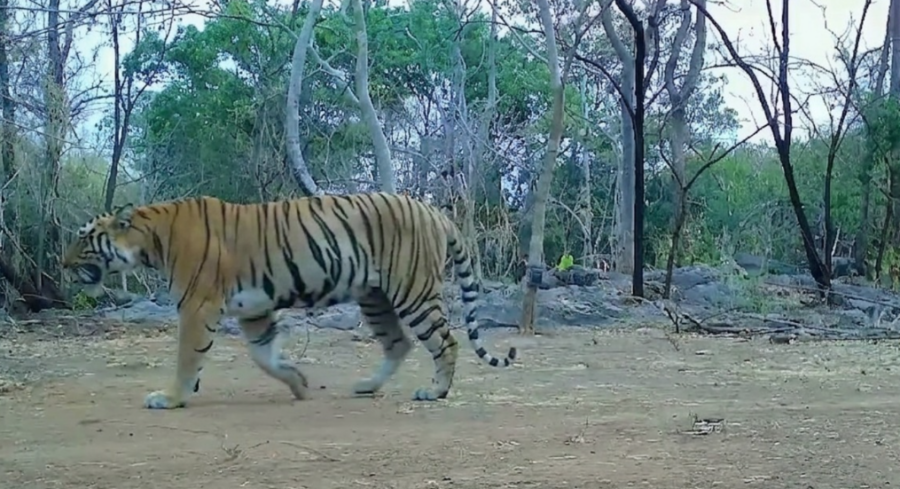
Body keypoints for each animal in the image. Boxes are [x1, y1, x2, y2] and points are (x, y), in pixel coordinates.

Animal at [61, 192, 517, 409]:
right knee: (398, 342)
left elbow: (188, 359)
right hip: (374, 296)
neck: (150, 239)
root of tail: (433, 211)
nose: (61, 264)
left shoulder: (197, 306)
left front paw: (170, 398)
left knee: (445, 341)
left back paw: (435, 391)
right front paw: (298, 383)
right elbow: (265, 356)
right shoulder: (254, 309)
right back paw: (367, 386)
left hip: (412, 291)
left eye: (84, 239)